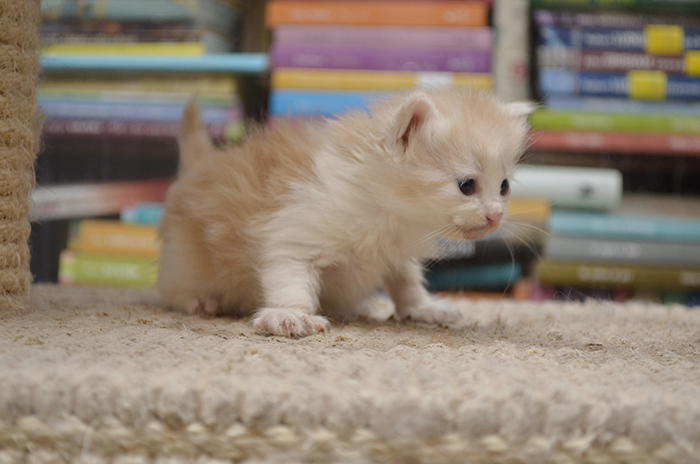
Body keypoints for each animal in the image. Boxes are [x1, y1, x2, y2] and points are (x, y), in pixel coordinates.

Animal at [157, 89, 534, 338]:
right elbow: (288, 275)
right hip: (184, 259)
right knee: (169, 288)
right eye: (467, 185)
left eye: (503, 187)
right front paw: (290, 315)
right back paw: (197, 300)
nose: (495, 216)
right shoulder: (292, 233)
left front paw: (422, 308)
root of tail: (199, 166)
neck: (388, 212)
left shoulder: (396, 251)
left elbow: (405, 281)